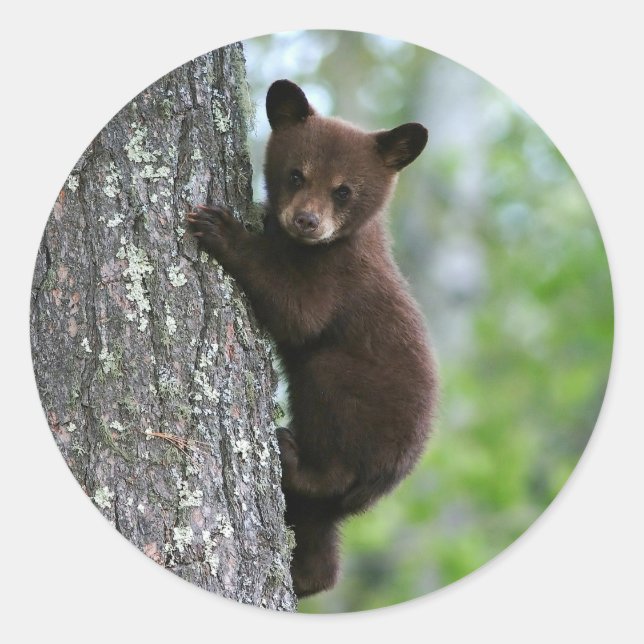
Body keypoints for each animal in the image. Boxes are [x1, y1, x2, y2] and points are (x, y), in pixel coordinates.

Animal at [187, 79, 437, 598]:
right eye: (296, 175)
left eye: (343, 190)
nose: (306, 221)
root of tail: (386, 481)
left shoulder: (338, 277)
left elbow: (297, 314)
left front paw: (223, 229)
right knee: (319, 539)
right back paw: (307, 576)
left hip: (355, 403)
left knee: (331, 439)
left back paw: (291, 454)